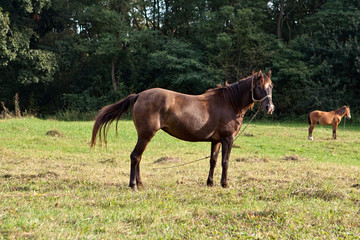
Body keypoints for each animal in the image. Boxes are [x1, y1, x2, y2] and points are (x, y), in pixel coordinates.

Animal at [91, 70, 274, 191]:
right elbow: (225, 162)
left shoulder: (216, 140)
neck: (229, 102)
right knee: (135, 157)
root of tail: (138, 95)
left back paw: (140, 183)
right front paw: (224, 184)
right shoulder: (227, 139)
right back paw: (133, 185)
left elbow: (213, 161)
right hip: (145, 135)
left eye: (271, 86)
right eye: (259, 86)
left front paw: (210, 183)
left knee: (138, 158)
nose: (269, 108)